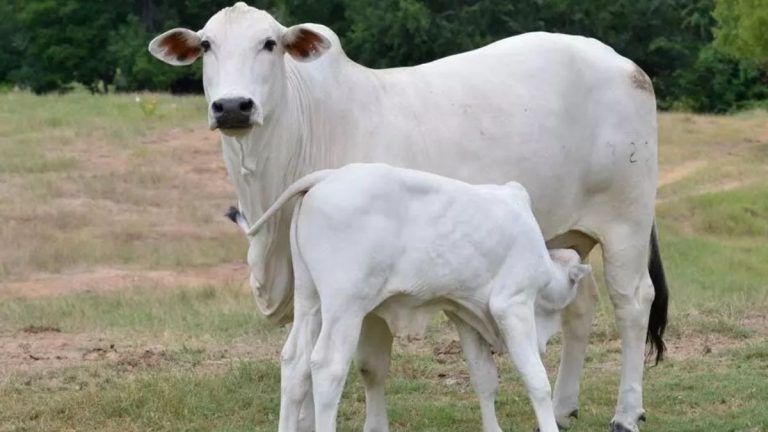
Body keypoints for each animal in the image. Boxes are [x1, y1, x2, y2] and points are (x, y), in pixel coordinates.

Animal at [230, 163, 593, 432]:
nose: (544, 342)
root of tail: (327, 176)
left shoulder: (464, 312)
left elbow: (484, 378)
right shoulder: (511, 306)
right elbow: (537, 380)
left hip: (310, 300)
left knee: (294, 362)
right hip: (345, 307)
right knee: (326, 366)